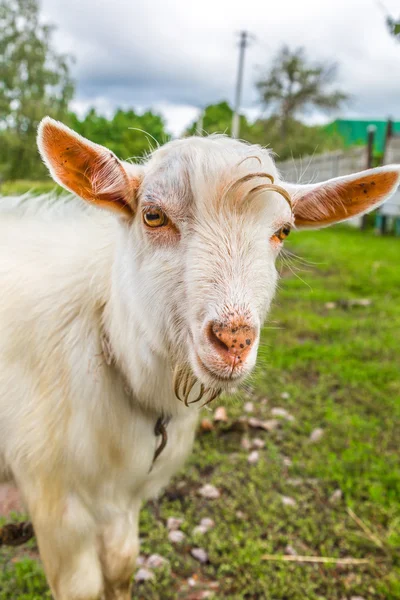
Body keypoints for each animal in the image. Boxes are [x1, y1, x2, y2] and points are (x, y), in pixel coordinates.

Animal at [0, 118, 398, 600]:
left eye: (283, 231)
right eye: (153, 215)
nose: (233, 339)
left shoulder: (124, 495)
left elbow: (122, 566)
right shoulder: (58, 503)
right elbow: (85, 587)